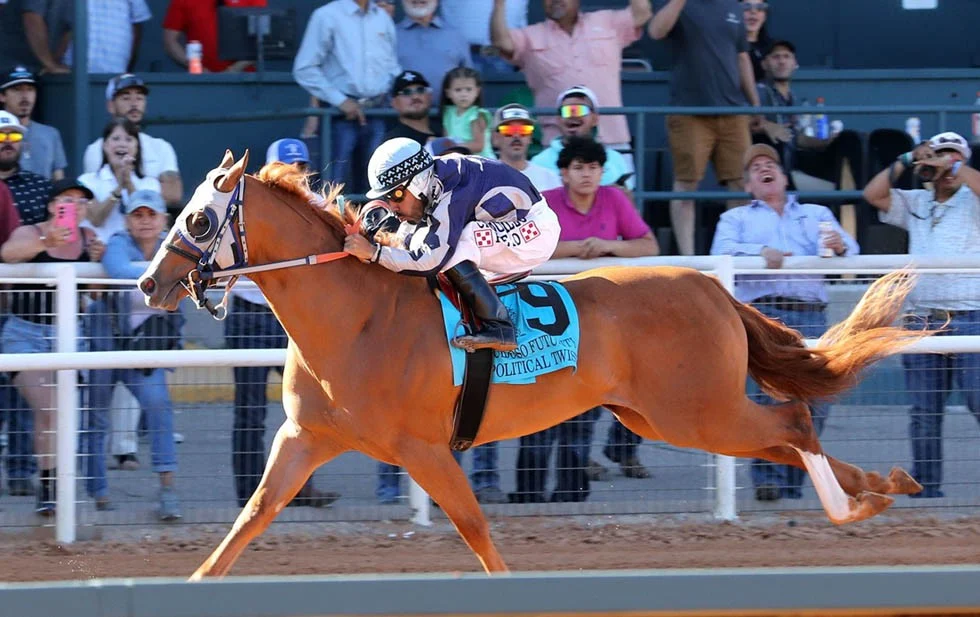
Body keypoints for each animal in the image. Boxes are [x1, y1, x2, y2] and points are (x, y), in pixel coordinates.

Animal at [138, 151, 930, 580]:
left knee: (791, 421)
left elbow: (475, 528)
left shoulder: (424, 448)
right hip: (665, 415)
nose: (149, 284)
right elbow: (250, 517)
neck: (354, 317)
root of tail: (712, 288)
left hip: (698, 411)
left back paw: (856, 500)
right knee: (791, 433)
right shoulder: (305, 438)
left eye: (201, 219)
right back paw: (881, 489)